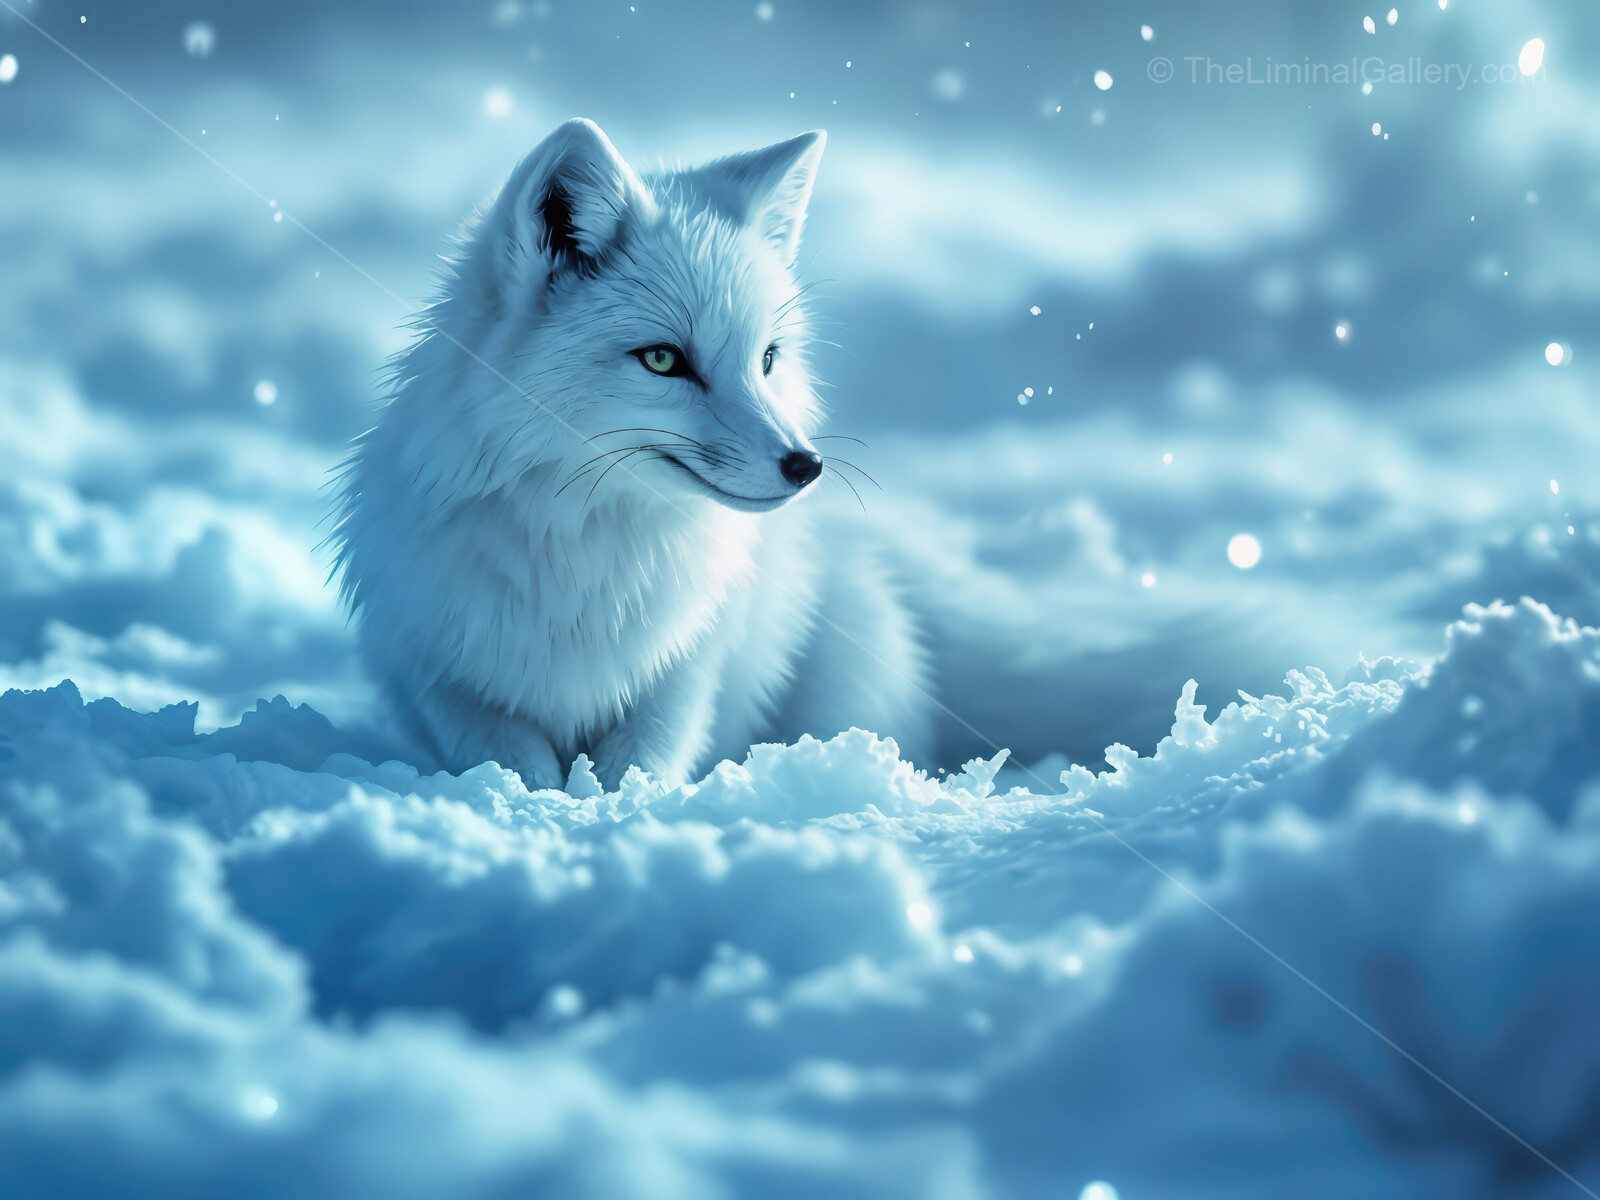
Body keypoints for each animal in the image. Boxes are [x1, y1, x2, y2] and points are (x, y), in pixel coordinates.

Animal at [332, 119, 930, 790]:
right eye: (663, 359)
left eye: (768, 359)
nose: (807, 467)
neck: (577, 550)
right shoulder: (433, 666)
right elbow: (510, 759)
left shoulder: (685, 674)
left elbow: (642, 764)